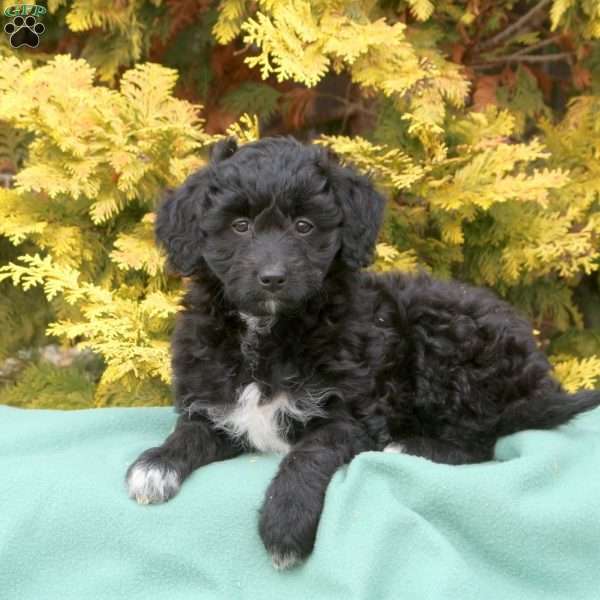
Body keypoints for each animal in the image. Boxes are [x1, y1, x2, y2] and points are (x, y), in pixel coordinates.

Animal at [126, 138, 600, 568]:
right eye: (239, 226)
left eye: (304, 226)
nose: (272, 278)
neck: (269, 331)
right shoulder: (213, 405)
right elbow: (189, 432)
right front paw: (157, 464)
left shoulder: (351, 414)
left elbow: (308, 454)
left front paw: (285, 521)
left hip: (447, 341)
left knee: (483, 442)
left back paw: (407, 447)